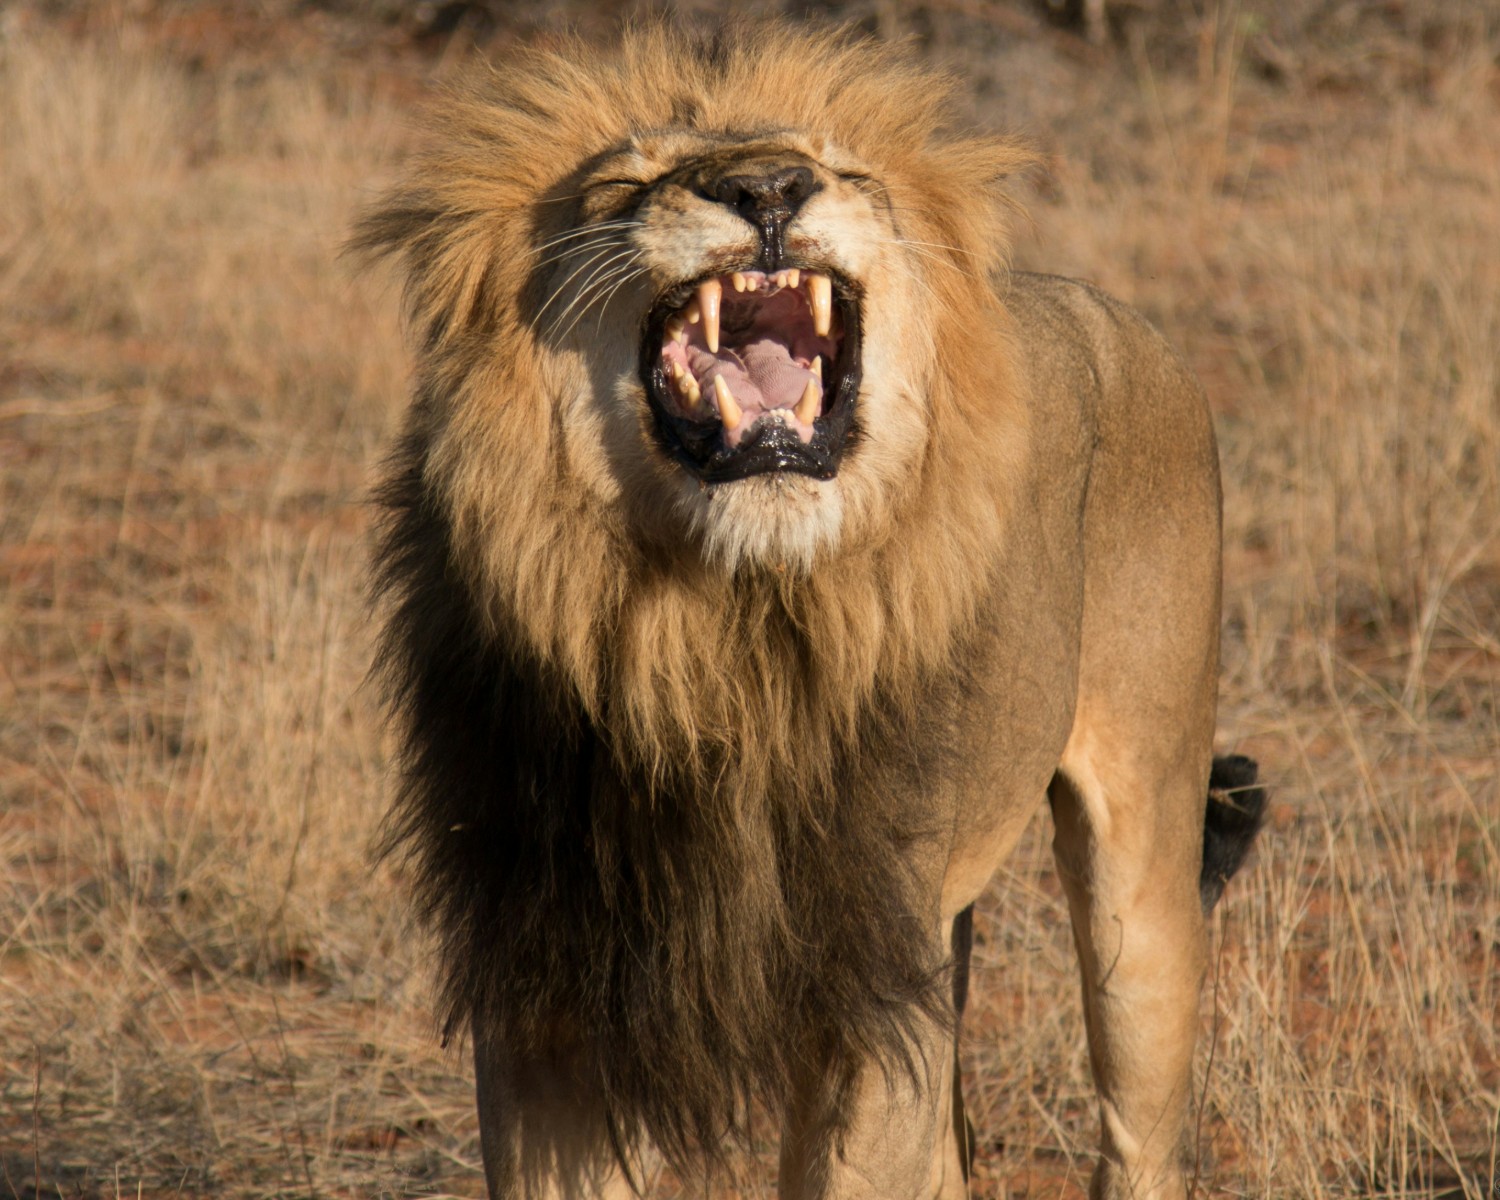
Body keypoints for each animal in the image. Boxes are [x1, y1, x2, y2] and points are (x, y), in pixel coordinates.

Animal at [354, 20, 1265, 1200]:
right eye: (625, 184)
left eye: (840, 171)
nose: (767, 186)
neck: (724, 629)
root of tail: (1113, 312)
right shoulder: (549, 987)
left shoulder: (868, 985)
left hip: (1140, 870)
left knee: (1140, 1120)